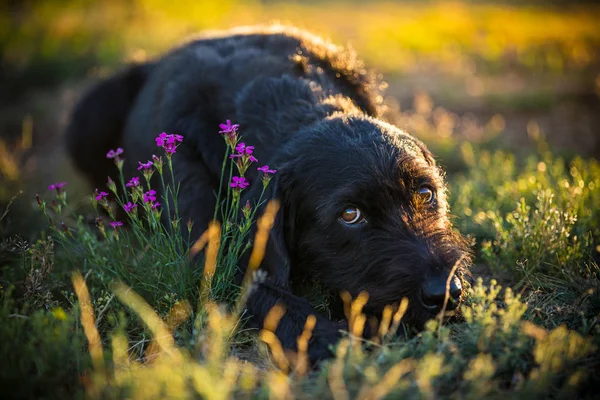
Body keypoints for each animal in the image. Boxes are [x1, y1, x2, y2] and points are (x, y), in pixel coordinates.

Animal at [64, 25, 468, 362]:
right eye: (350, 215)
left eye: (426, 193)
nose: (444, 293)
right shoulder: (214, 266)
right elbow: (283, 306)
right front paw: (339, 341)